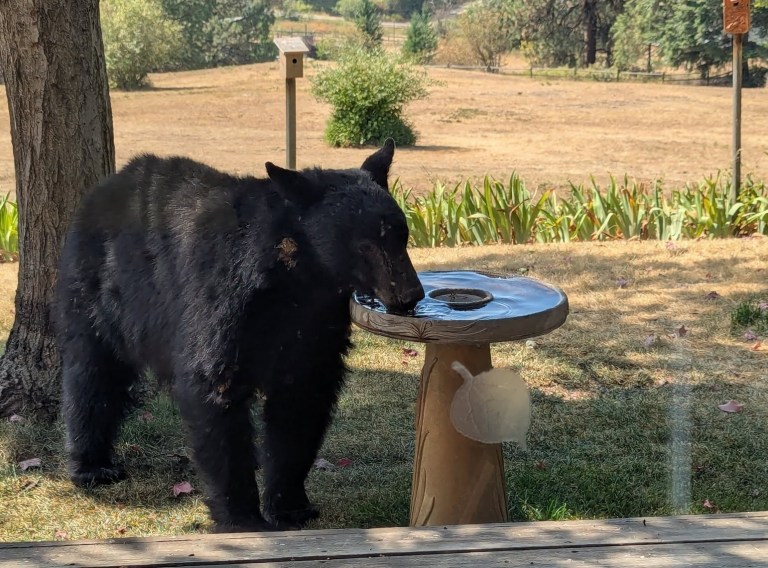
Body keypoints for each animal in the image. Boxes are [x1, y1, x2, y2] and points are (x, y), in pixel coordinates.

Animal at [54, 140, 424, 532]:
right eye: (365, 245)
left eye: (402, 235)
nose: (410, 295)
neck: (297, 279)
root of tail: (107, 185)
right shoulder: (223, 299)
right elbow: (215, 389)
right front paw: (242, 517)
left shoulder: (315, 322)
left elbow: (301, 398)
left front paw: (292, 505)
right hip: (96, 292)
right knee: (92, 373)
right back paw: (93, 466)